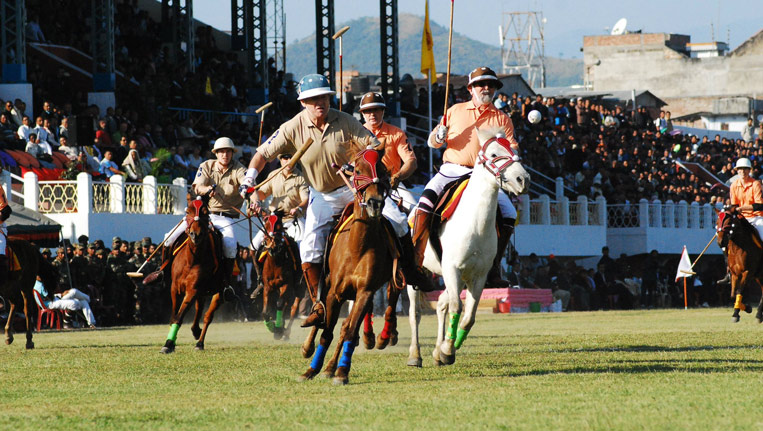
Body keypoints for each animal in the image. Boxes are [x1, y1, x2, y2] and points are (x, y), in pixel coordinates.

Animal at [159, 194, 224, 352]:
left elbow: (179, 316)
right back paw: (196, 331)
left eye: (206, 213)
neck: (191, 260)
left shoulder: (193, 289)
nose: (196, 235)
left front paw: (168, 343)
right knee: (199, 309)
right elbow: (174, 316)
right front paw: (171, 343)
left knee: (207, 316)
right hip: (202, 292)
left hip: (218, 291)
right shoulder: (175, 288)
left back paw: (199, 342)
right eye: (188, 211)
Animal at [258, 212, 302, 340]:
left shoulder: (286, 284)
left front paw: (277, 330)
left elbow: (279, 304)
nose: (274, 246)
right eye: (266, 225)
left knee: (293, 308)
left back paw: (286, 332)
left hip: (299, 289)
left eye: (278, 225)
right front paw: (273, 327)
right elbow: (264, 312)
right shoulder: (267, 286)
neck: (276, 261)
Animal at [300, 147, 402, 386]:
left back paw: (382, 336)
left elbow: (349, 330)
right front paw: (312, 369)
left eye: (382, 169)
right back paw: (310, 348)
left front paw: (341, 371)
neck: (358, 247)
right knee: (321, 314)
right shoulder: (335, 293)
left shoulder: (365, 291)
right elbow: (326, 331)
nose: (375, 203)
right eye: (357, 170)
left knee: (389, 298)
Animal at [406, 126, 532, 366]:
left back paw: (437, 350)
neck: (474, 223)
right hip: (418, 275)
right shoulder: (452, 269)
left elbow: (469, 316)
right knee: (415, 312)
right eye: (493, 154)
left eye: (514, 151)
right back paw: (415, 355)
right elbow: (457, 307)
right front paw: (447, 350)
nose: (523, 179)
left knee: (442, 305)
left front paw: (448, 348)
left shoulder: (478, 275)